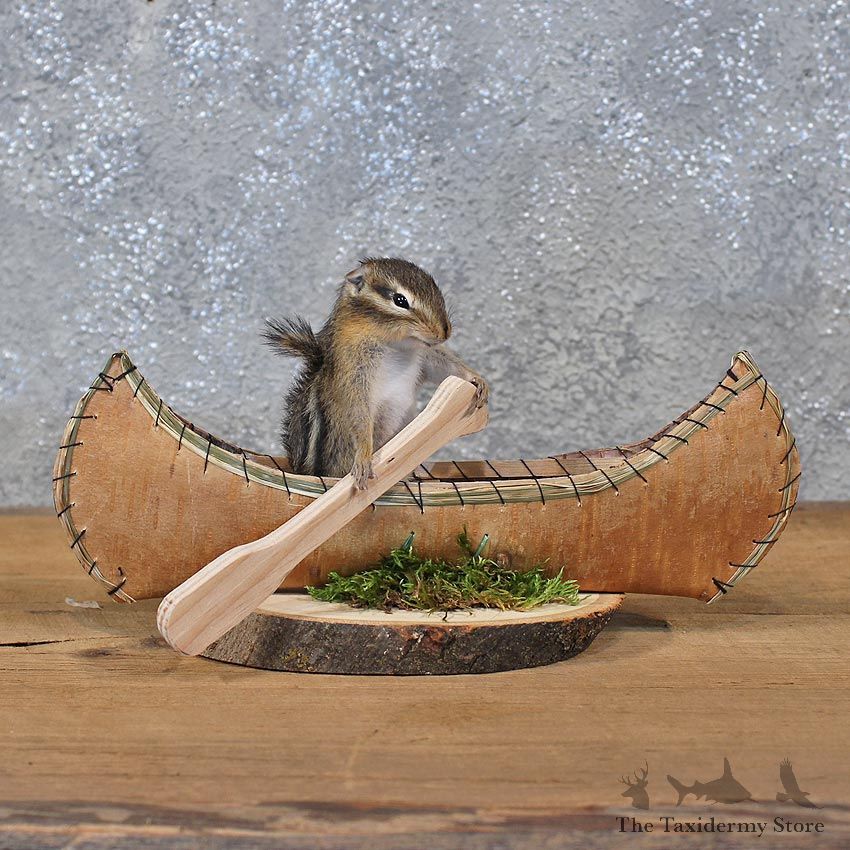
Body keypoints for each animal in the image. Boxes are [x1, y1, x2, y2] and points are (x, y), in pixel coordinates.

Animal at [264, 257, 489, 489]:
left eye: (435, 287)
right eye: (400, 300)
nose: (445, 332)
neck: (395, 345)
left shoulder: (426, 354)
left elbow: (444, 366)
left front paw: (477, 379)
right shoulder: (353, 369)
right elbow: (358, 413)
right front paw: (363, 457)